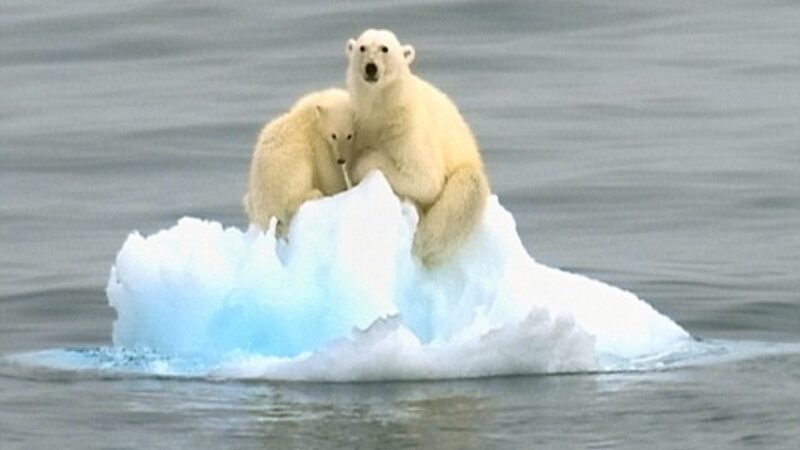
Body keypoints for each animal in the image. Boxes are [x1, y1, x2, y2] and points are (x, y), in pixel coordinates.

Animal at [242, 87, 354, 236]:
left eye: (350, 135)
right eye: (333, 135)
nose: (341, 159)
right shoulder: (318, 143)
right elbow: (328, 173)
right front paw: (339, 188)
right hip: (288, 168)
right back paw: (314, 193)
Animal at [344, 28, 488, 266]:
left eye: (385, 48)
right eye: (362, 48)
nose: (370, 67)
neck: (383, 111)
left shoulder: (409, 128)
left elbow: (423, 177)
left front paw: (362, 163)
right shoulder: (360, 125)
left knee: (466, 194)